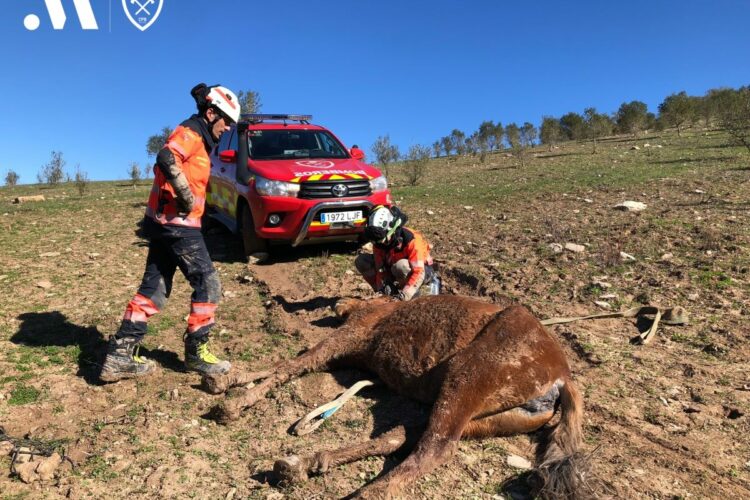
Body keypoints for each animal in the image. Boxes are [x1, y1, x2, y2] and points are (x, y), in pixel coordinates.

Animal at [204, 294, 588, 498]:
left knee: (434, 449)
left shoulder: (350, 336)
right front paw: (228, 383)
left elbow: (294, 363)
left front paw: (231, 398)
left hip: (467, 374)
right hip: (486, 417)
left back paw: (357, 491)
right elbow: (295, 363)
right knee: (404, 438)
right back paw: (305, 464)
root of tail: (562, 377)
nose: (337, 305)